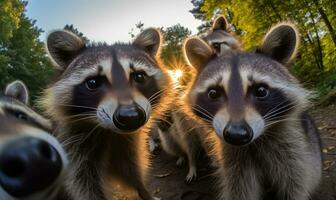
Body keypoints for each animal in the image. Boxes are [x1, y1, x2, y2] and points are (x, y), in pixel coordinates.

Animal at [41, 28, 173, 200]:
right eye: (93, 83)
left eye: (139, 76)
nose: (130, 117)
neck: (108, 132)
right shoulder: (72, 146)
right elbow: (83, 184)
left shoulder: (127, 142)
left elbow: (131, 168)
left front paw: (143, 190)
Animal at [184, 22, 322, 199]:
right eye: (213, 93)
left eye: (261, 91)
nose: (236, 135)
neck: (255, 142)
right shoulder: (234, 161)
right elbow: (239, 190)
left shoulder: (294, 151)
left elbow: (295, 185)